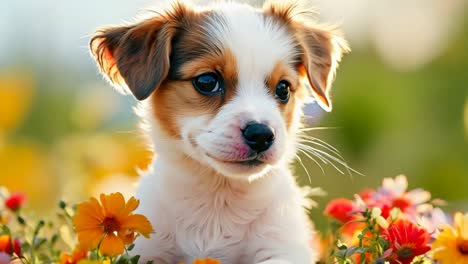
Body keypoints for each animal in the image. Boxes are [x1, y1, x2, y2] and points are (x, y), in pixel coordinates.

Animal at [90, 1, 348, 262]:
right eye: (207, 81)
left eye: (283, 88)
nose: (261, 135)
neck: (218, 197)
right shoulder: (148, 248)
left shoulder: (281, 247)